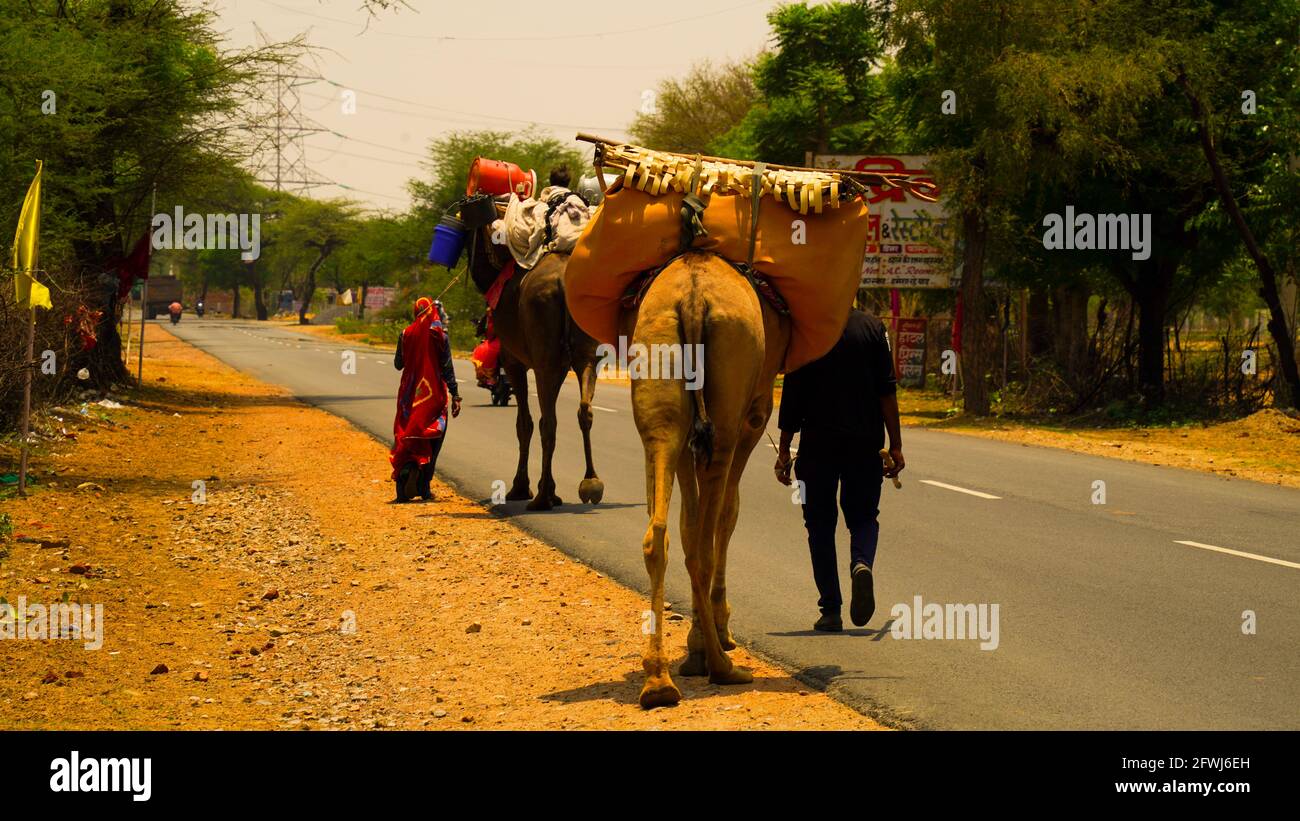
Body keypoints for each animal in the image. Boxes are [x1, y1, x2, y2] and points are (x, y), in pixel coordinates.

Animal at [467, 224, 603, 506]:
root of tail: (562, 282)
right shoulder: (559, 366)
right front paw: (545, 487)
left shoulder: (513, 361)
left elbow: (524, 423)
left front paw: (521, 488)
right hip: (582, 352)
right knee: (584, 408)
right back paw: (591, 483)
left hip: (541, 349)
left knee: (548, 422)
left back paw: (542, 498)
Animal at [621, 250, 790, 706]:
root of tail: (694, 297)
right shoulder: (753, 418)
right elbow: (727, 515)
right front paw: (717, 628)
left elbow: (688, 522)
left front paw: (696, 640)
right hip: (730, 400)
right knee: (707, 537)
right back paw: (721, 666)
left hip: (658, 361)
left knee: (661, 532)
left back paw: (659, 680)